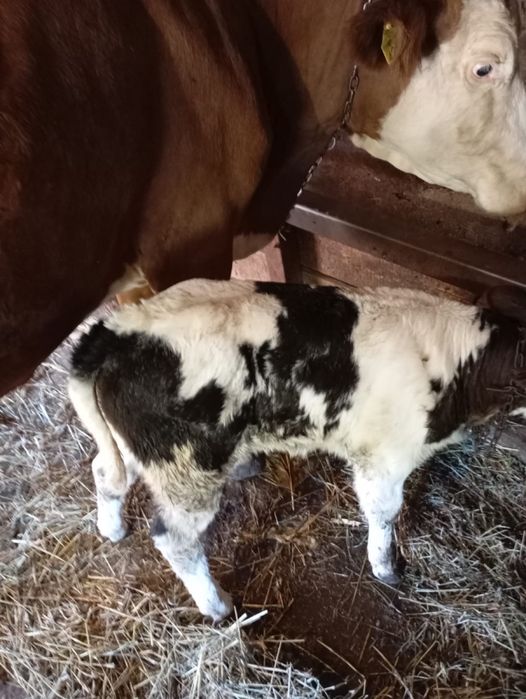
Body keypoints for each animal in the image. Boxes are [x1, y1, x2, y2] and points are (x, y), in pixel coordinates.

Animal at [68, 280, 526, 622]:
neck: (457, 366)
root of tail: (122, 327)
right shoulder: (384, 459)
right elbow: (383, 514)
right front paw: (386, 567)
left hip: (139, 448)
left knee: (107, 472)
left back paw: (112, 529)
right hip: (187, 464)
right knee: (174, 538)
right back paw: (217, 607)